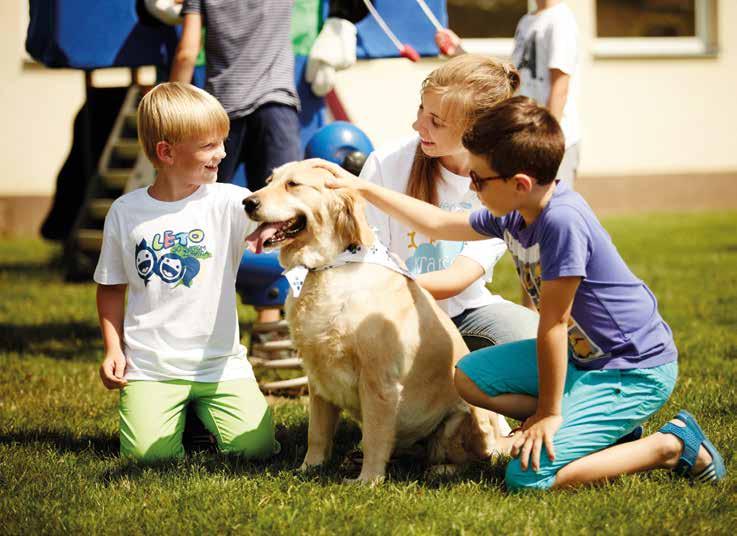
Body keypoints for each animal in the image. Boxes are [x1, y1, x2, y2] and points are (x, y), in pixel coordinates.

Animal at [244, 161, 508, 484]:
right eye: (269, 180)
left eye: (293, 184)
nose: (247, 202)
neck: (326, 268)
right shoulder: (317, 375)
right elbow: (317, 434)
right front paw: (309, 468)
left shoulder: (378, 380)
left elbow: (374, 435)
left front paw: (367, 480)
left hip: (466, 415)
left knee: (472, 459)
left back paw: (440, 468)